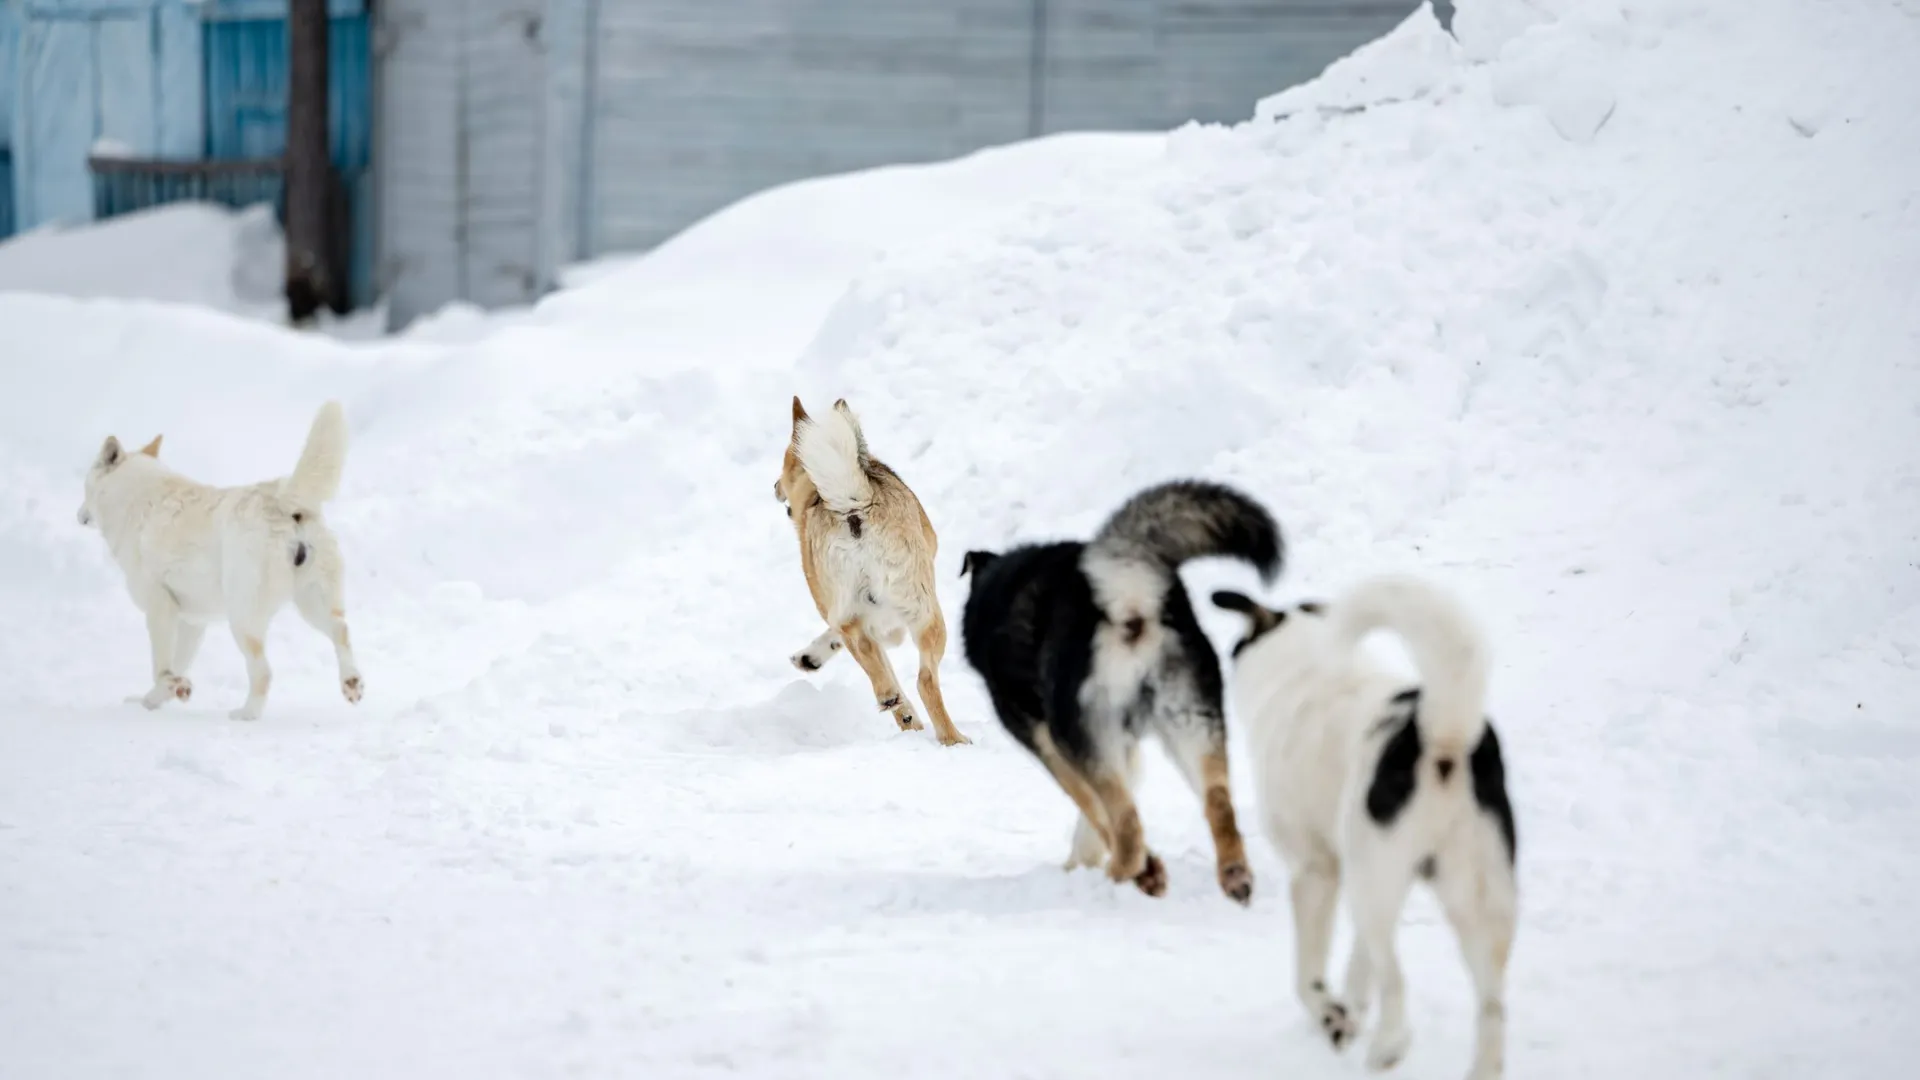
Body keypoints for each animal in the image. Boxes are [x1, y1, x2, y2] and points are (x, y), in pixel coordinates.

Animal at [771, 399, 967, 745]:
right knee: (923, 680)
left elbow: (842, 636)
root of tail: (852, 506)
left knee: (876, 658)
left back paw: (901, 708)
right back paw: (949, 737)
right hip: (926, 613)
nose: (773, 487)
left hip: (897, 611)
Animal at [956, 478, 1274, 899]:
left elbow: (1094, 810)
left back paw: (1132, 872)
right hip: (1192, 724)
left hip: (1084, 730)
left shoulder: (1049, 744)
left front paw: (1121, 864)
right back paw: (1233, 873)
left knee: (1128, 820)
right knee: (1218, 803)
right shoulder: (1124, 747)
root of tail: (1125, 590)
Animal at [1213, 572, 1512, 1076]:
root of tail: (1441, 733)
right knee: (1492, 1007)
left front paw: (1333, 1016)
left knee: (1396, 977)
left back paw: (1388, 1047)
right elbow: (1359, 963)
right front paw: (1348, 1014)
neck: (1303, 668)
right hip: (1476, 900)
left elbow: (1309, 977)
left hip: (1373, 878)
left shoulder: (1317, 871)